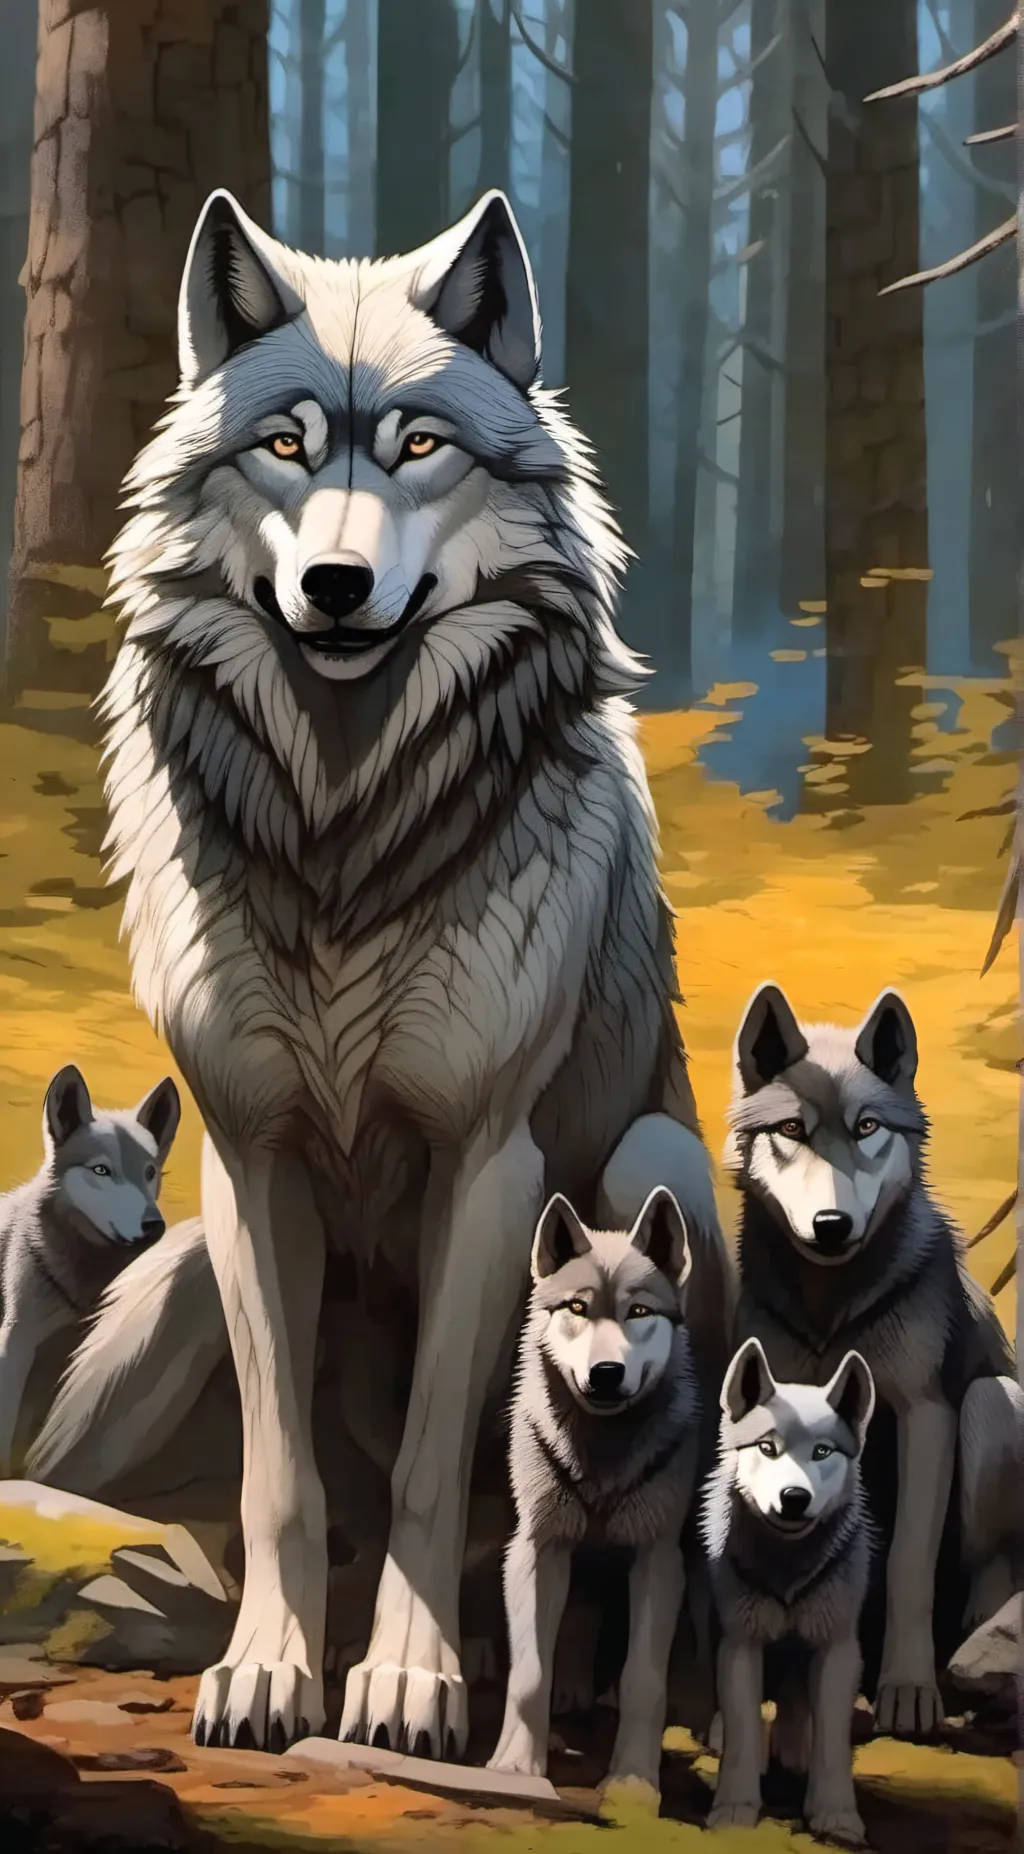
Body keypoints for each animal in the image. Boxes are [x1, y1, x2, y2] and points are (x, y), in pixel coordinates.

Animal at [488, 1187, 699, 1800]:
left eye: (639, 1312)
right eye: (578, 1309)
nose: (606, 1373)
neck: (601, 1461)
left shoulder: (658, 1558)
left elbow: (642, 1681)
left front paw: (634, 1780)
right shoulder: (537, 1549)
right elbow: (530, 1673)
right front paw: (516, 1767)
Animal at [702, 1338, 875, 1846]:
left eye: (822, 1452)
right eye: (767, 1447)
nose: (794, 1498)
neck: (788, 1570)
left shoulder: (838, 1647)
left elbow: (833, 1737)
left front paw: (836, 1816)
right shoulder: (741, 1642)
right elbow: (742, 1728)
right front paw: (734, 1811)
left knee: (798, 1700)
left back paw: (795, 1749)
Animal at [726, 981, 1022, 1741]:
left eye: (867, 1129)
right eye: (791, 1130)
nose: (832, 1226)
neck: (833, 1314)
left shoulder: (927, 1411)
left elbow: (909, 1564)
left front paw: (907, 1692)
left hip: (990, 1404)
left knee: (991, 1567)